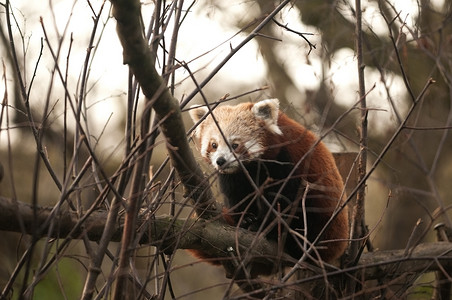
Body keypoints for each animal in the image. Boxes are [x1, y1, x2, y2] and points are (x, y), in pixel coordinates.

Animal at [187, 98, 350, 274]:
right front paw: (245, 219)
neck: (252, 168)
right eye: (214, 145)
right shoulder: (234, 177)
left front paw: (262, 226)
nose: (221, 161)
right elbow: (237, 196)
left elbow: (283, 200)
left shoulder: (287, 162)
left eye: (235, 145)